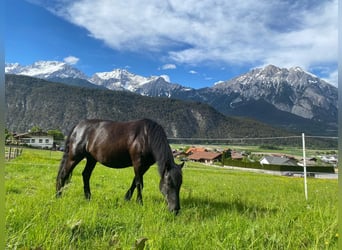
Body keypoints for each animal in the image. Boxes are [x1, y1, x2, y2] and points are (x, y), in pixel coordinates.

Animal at [55, 118, 184, 213]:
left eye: (180, 185)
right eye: (169, 183)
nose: (175, 209)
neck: (147, 136)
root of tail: (78, 126)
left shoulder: (145, 166)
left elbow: (134, 182)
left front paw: (127, 198)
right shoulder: (137, 163)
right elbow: (139, 183)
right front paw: (139, 202)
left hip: (91, 159)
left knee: (85, 175)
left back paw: (88, 197)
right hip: (74, 156)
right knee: (64, 174)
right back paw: (58, 196)